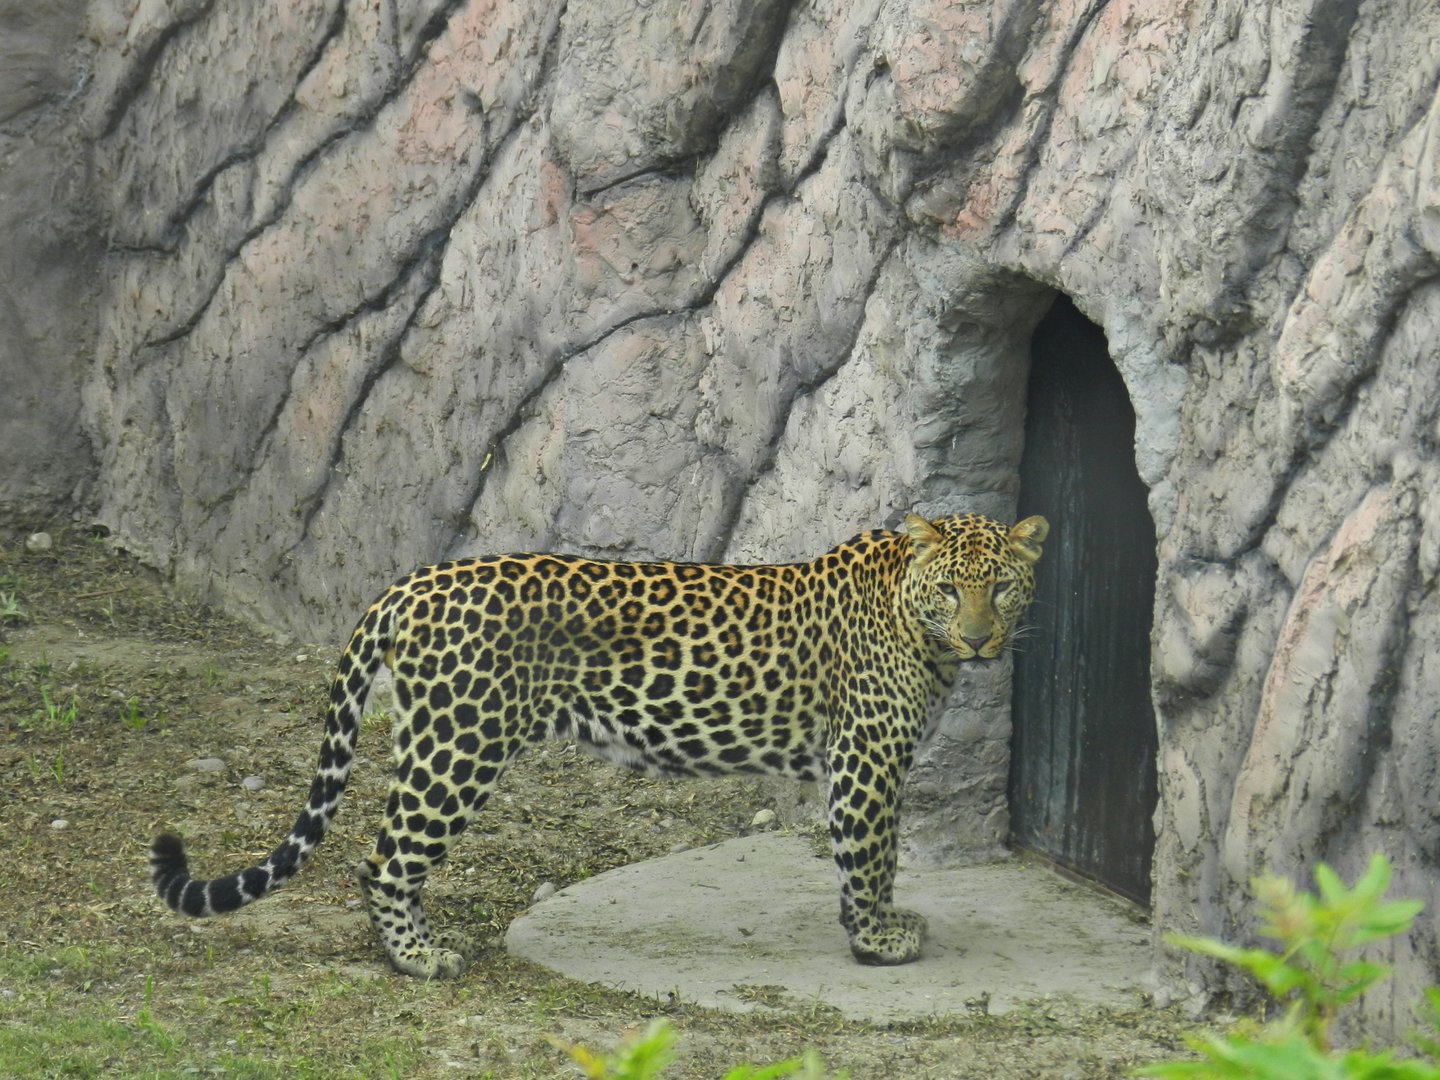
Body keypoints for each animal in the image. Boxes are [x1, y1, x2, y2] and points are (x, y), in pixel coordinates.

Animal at [151, 511, 1049, 978]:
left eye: (1002, 587)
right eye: (951, 591)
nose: (981, 640)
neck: (912, 618)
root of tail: (411, 584)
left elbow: (873, 856)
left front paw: (879, 924)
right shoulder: (867, 756)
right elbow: (869, 852)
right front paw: (877, 940)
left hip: (425, 732)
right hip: (462, 745)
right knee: (384, 858)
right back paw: (420, 958)